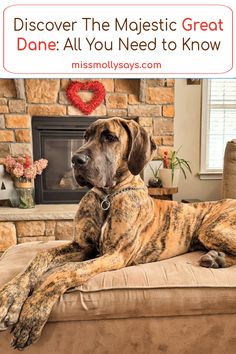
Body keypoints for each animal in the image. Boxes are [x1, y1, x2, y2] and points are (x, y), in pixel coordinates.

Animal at [0, 117, 236, 350]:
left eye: (110, 137)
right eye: (85, 136)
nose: (75, 159)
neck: (109, 196)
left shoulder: (116, 254)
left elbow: (67, 271)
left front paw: (33, 310)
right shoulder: (82, 246)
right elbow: (40, 256)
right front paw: (11, 296)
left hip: (211, 229)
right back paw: (215, 258)